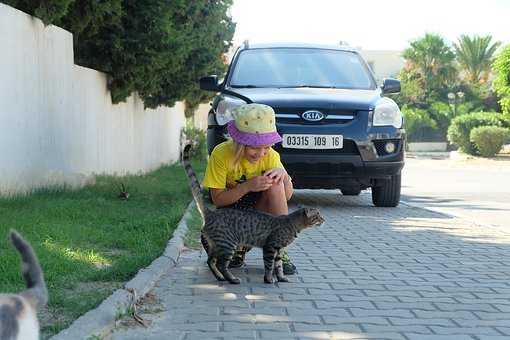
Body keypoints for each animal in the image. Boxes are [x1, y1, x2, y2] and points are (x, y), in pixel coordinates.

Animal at [182, 143, 322, 284]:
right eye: (318, 216)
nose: (324, 219)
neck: (293, 224)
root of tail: (210, 213)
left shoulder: (279, 250)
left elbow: (279, 266)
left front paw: (281, 277)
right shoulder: (270, 247)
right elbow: (269, 265)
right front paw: (269, 279)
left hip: (217, 245)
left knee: (211, 261)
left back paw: (220, 277)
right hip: (227, 244)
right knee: (221, 265)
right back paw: (232, 279)